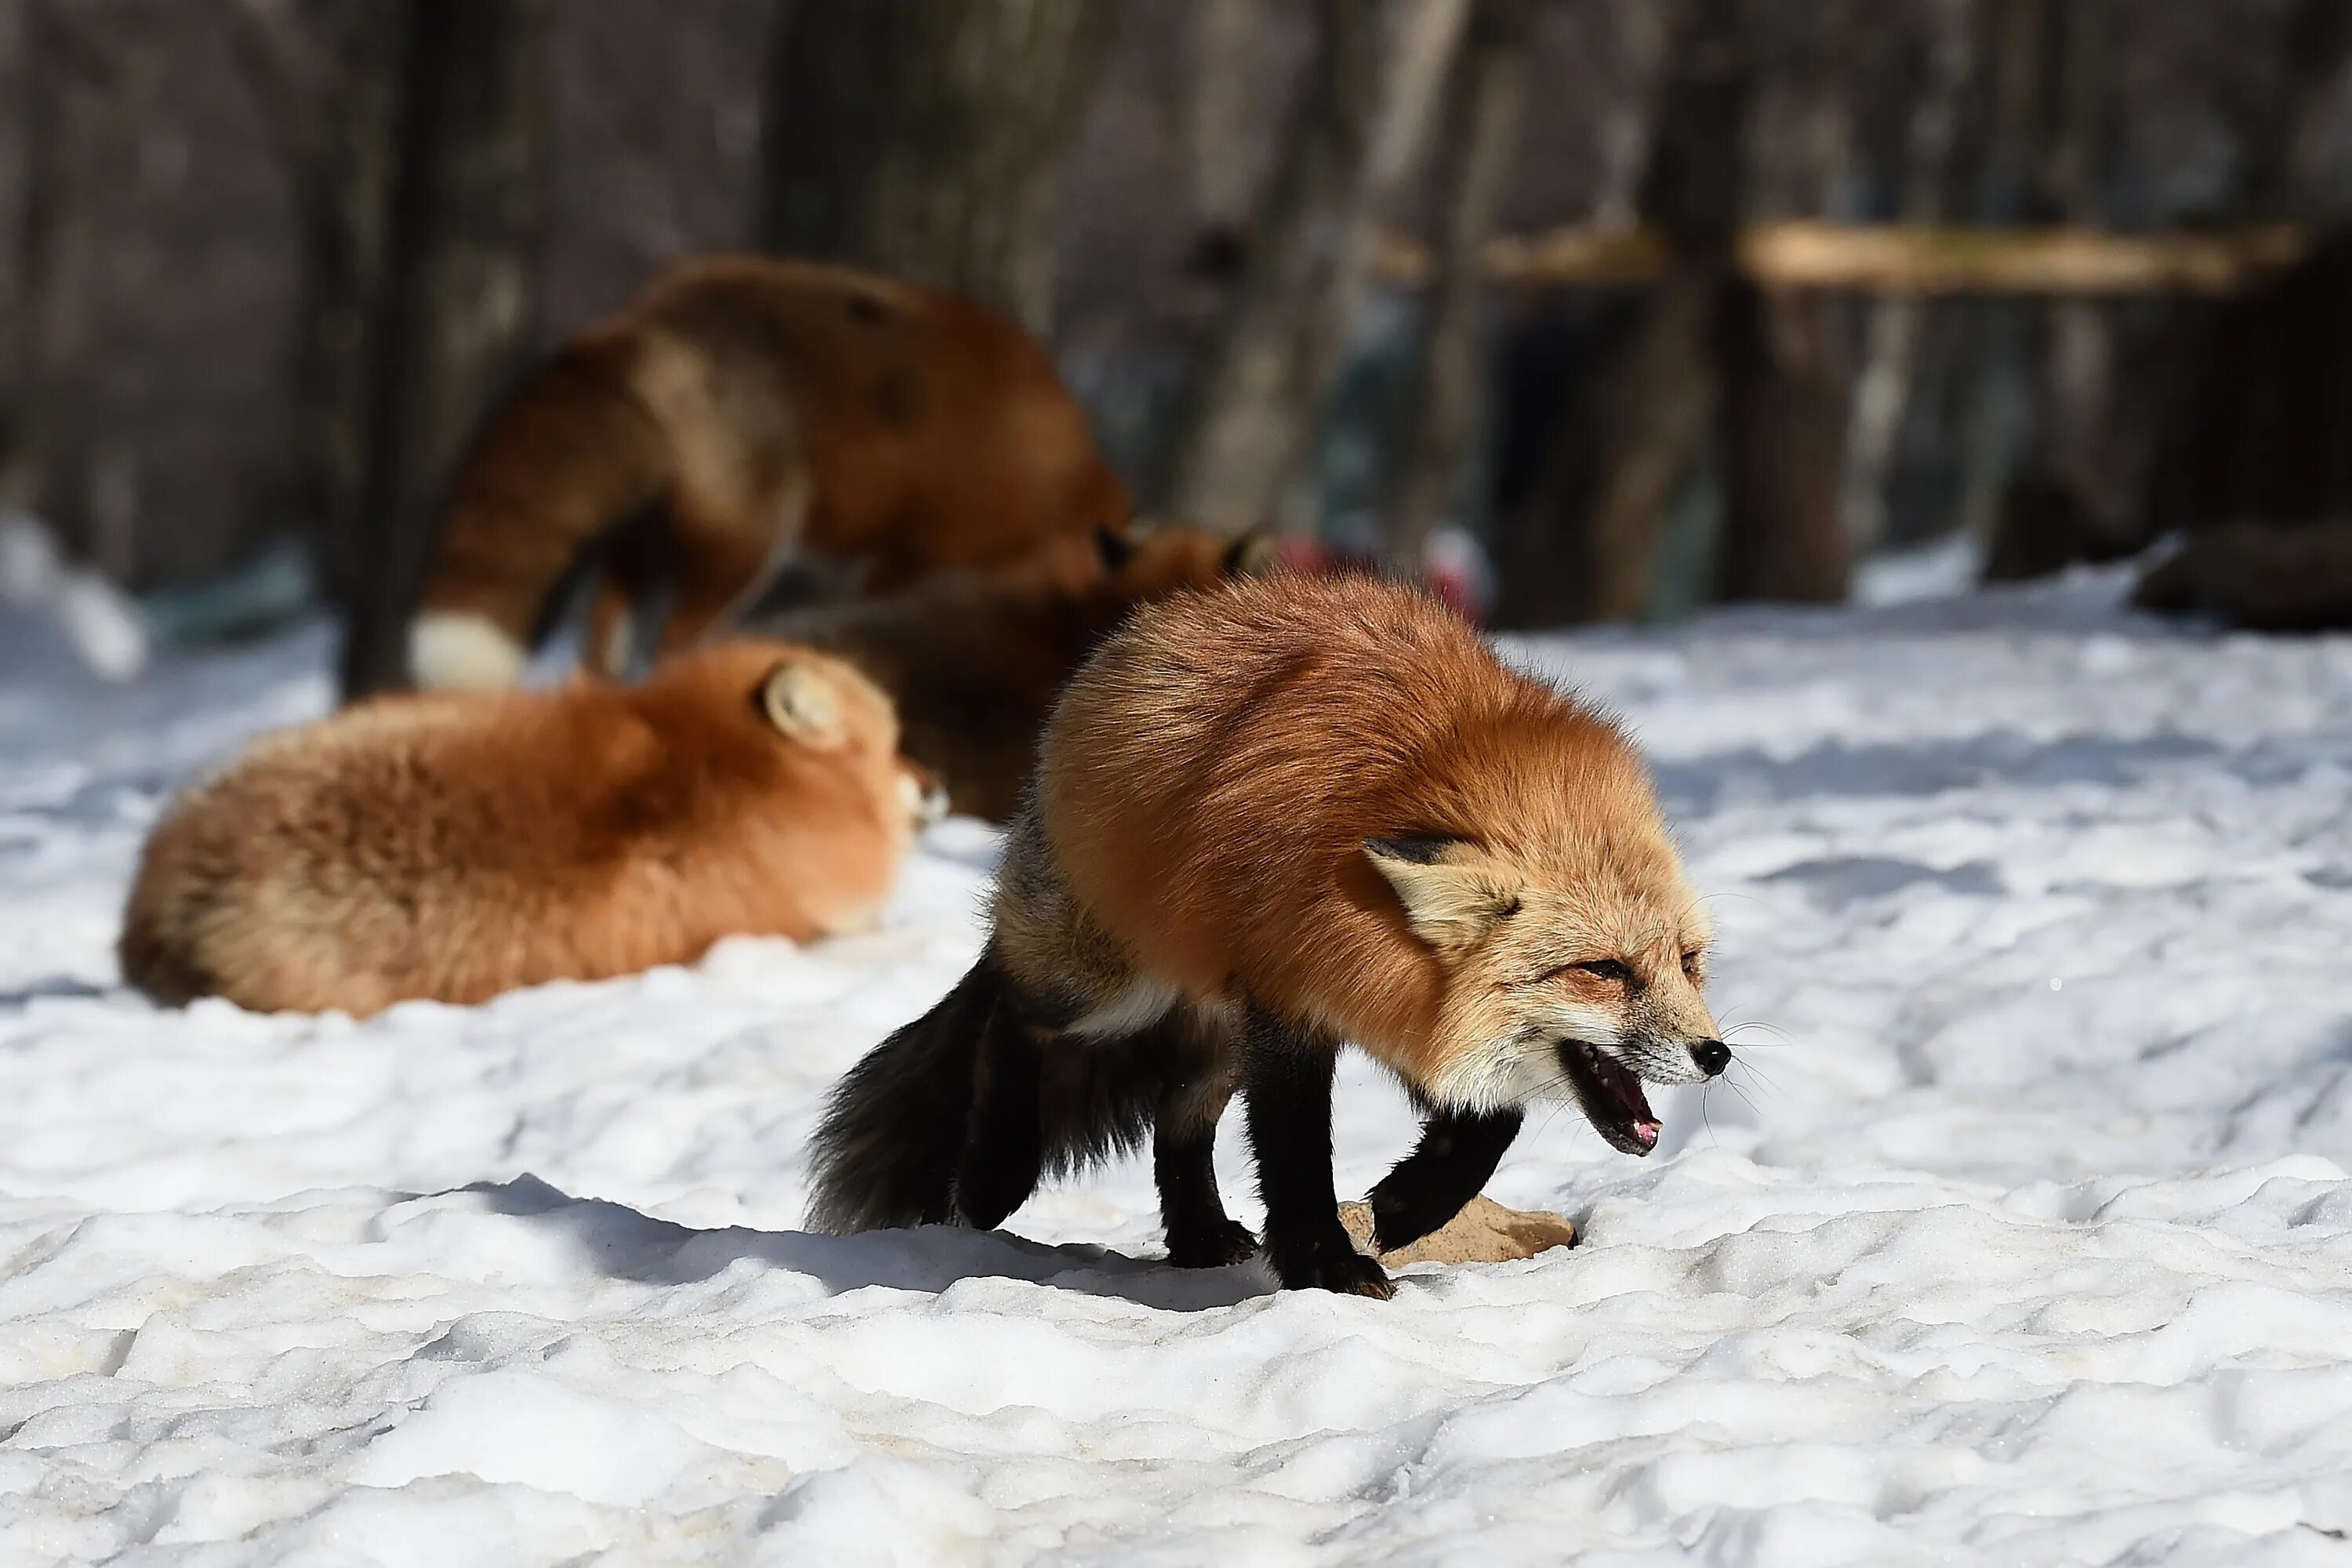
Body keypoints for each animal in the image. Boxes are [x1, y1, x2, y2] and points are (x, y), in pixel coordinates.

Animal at [409, 258, 1134, 691]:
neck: (1055, 487)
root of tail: (647, 316)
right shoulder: (909, 556)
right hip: (745, 551)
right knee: (668, 647)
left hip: (641, 547)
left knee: (599, 644)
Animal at [814, 575, 1731, 1298]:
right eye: (1603, 969)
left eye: (1687, 963)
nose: (1716, 1054)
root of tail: (1162, 615)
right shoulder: (1292, 1002)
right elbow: (1296, 1151)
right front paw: (1327, 1263)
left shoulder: (1400, 1002)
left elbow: (1485, 1128)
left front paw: (1402, 1209)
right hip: (1111, 982)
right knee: (1012, 1015)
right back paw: (996, 1168)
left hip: (1220, 1020)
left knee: (1177, 1118)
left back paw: (1196, 1235)